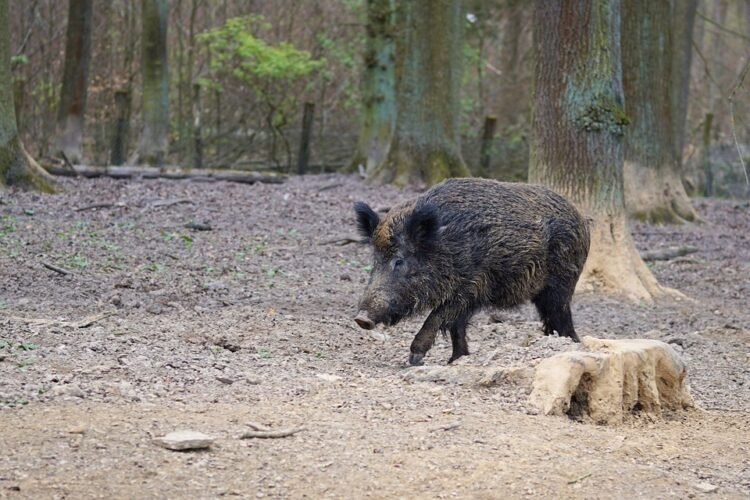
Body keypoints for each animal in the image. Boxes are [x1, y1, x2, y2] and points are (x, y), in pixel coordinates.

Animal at [353, 178, 590, 366]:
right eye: (375, 260)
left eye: (399, 261)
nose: (361, 319)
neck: (444, 245)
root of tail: (581, 219)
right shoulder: (468, 297)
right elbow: (456, 327)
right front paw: (456, 359)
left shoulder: (469, 287)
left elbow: (437, 317)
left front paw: (414, 359)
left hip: (561, 284)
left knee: (561, 317)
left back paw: (570, 343)